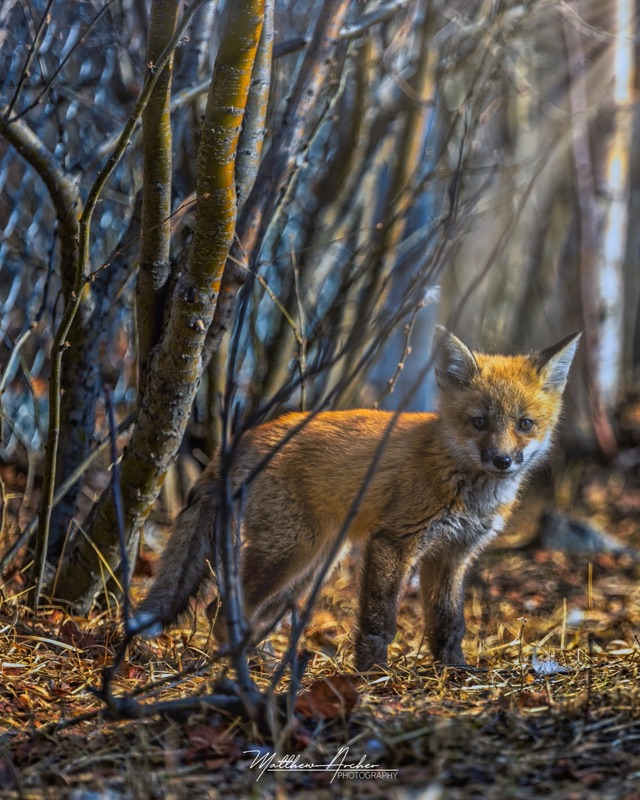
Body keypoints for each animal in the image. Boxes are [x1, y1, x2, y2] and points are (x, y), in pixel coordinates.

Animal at [130, 327, 580, 670]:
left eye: (525, 424)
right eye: (480, 422)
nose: (502, 460)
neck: (458, 479)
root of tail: (245, 438)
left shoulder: (452, 555)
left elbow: (448, 622)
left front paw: (454, 669)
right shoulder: (394, 542)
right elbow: (379, 619)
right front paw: (373, 672)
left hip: (310, 568)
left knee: (223, 610)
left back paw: (260, 660)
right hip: (292, 553)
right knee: (222, 609)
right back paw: (244, 667)